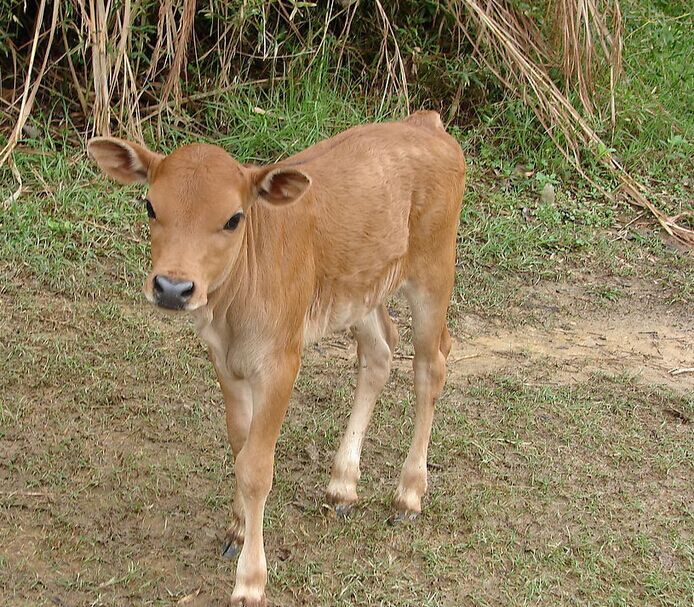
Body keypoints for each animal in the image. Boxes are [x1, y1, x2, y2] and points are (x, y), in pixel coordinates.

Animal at [87, 111, 468, 604]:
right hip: (360, 289)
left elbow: (256, 467)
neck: (233, 309)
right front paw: (236, 528)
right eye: (150, 206)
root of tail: (426, 122)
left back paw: (409, 492)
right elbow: (239, 444)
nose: (173, 288)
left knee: (431, 365)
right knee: (380, 353)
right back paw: (343, 484)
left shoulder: (281, 363)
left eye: (234, 218)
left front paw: (250, 580)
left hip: (433, 271)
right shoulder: (225, 360)